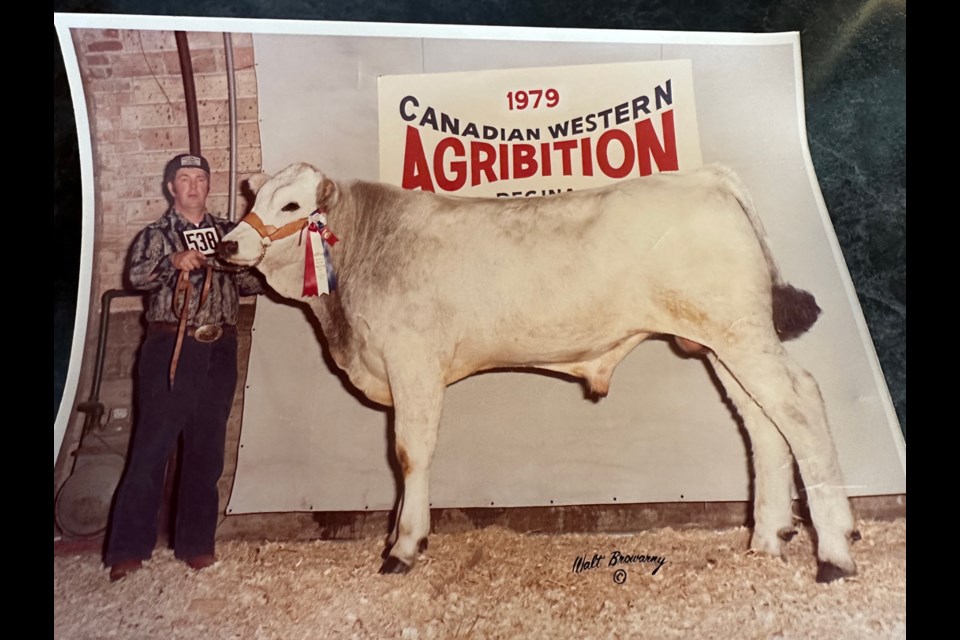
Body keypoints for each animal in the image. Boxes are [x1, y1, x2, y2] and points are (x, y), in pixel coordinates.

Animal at [219, 162, 864, 584]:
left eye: (291, 206)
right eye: (253, 199)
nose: (226, 245)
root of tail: (706, 177)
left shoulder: (413, 363)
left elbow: (409, 454)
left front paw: (403, 547)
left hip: (739, 332)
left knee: (801, 402)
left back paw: (833, 554)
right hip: (720, 340)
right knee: (762, 424)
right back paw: (767, 541)